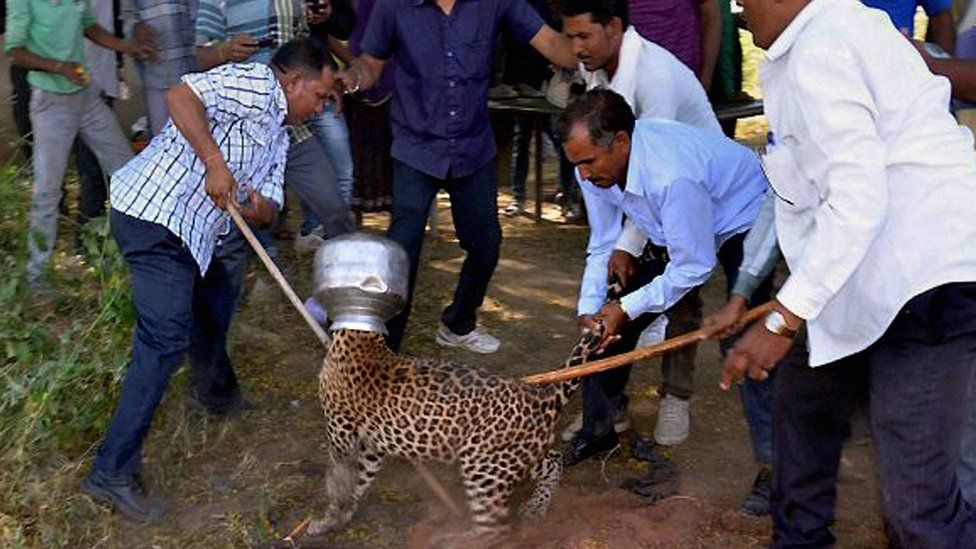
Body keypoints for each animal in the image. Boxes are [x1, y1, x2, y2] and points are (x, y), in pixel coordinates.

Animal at [308, 324, 608, 536]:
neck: (363, 337)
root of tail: (541, 397)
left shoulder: (341, 436)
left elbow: (337, 482)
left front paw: (327, 521)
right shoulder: (372, 447)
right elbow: (359, 481)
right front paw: (345, 514)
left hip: (483, 467)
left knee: (495, 529)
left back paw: (458, 538)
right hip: (513, 456)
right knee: (554, 460)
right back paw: (537, 505)